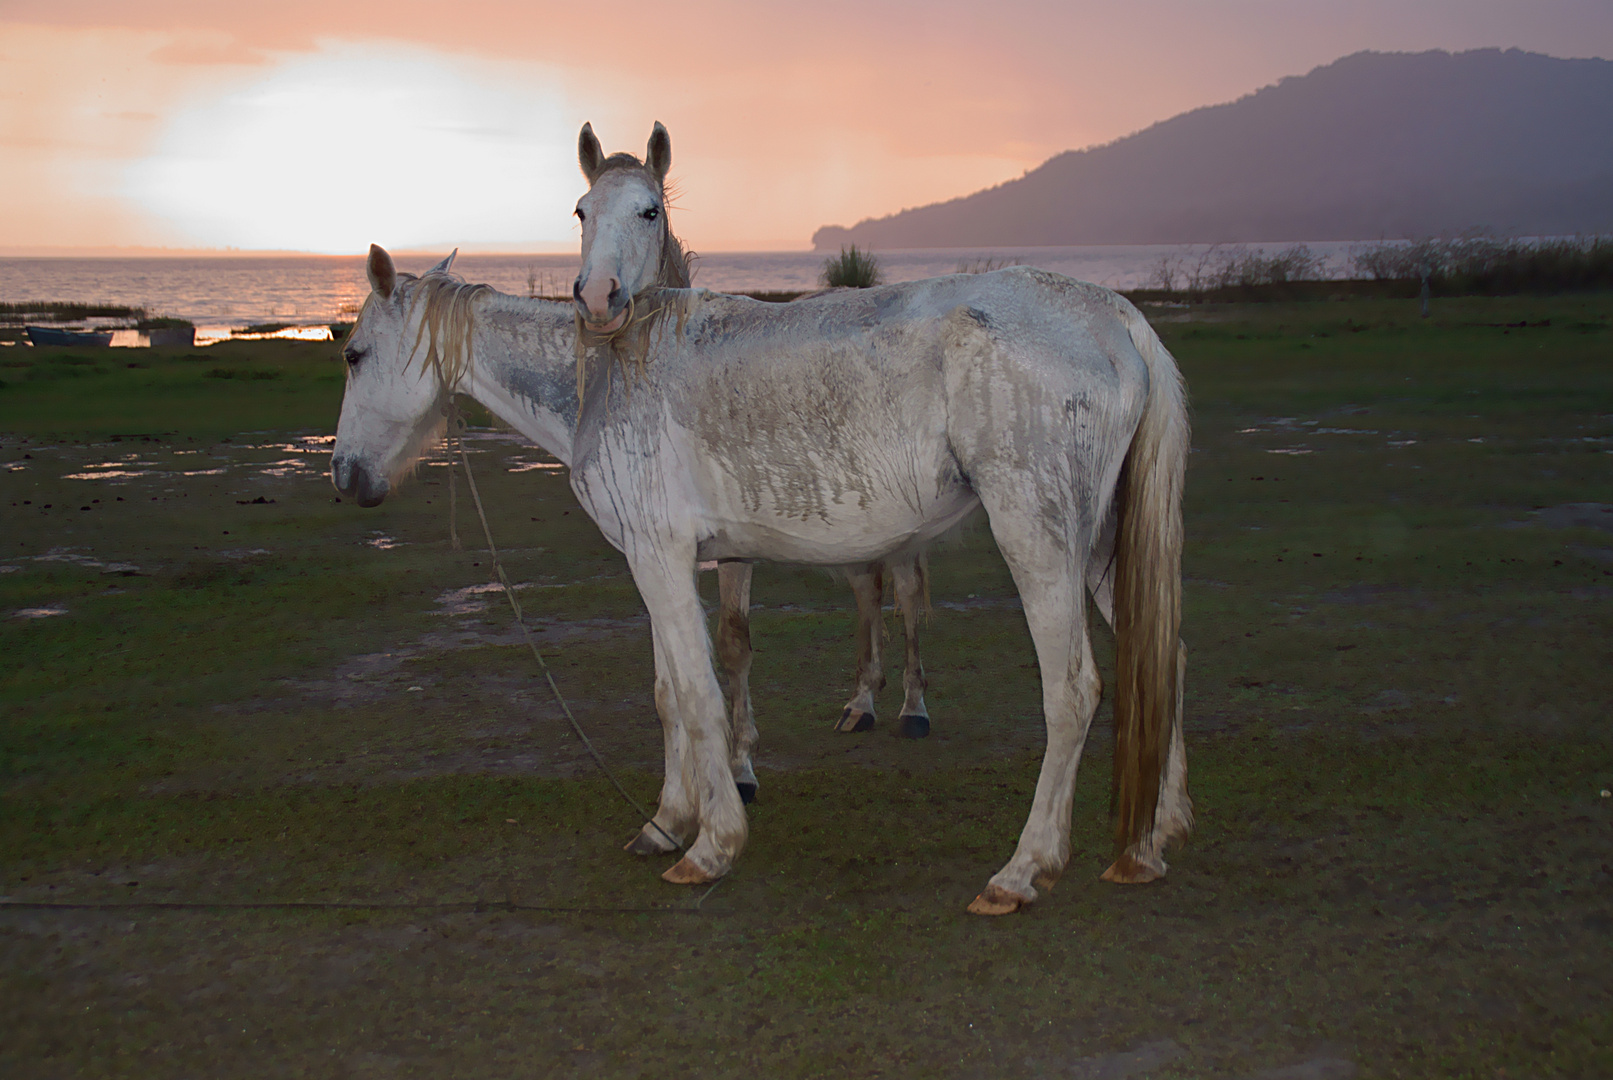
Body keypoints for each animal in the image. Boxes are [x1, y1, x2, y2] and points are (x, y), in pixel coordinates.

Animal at [577, 120, 935, 754]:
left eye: (649, 211)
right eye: (581, 212)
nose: (599, 296)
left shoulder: (733, 547)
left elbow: (733, 640)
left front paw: (740, 754)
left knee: (909, 595)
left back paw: (913, 707)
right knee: (867, 589)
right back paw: (860, 703)